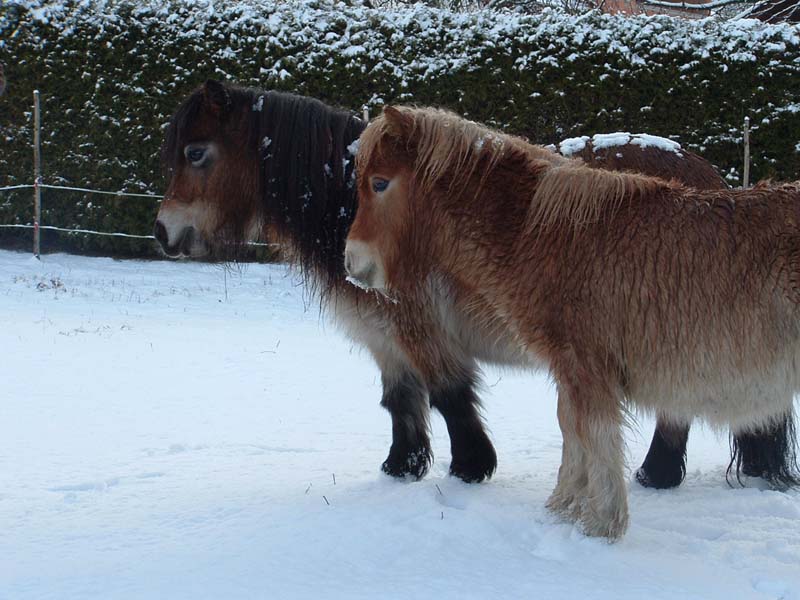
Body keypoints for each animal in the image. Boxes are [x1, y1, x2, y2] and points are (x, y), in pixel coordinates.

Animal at [154, 81, 797, 496]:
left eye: (195, 152)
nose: (162, 232)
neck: (349, 211)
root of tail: (711, 177)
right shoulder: (385, 337)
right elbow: (400, 402)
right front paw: (401, 467)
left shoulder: (421, 330)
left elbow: (448, 396)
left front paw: (470, 468)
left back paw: (656, 475)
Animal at [344, 105, 800, 539]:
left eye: (379, 183)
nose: (352, 263)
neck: (547, 237)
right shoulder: (569, 369)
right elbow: (571, 429)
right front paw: (566, 506)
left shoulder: (586, 368)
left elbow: (593, 434)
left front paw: (600, 523)